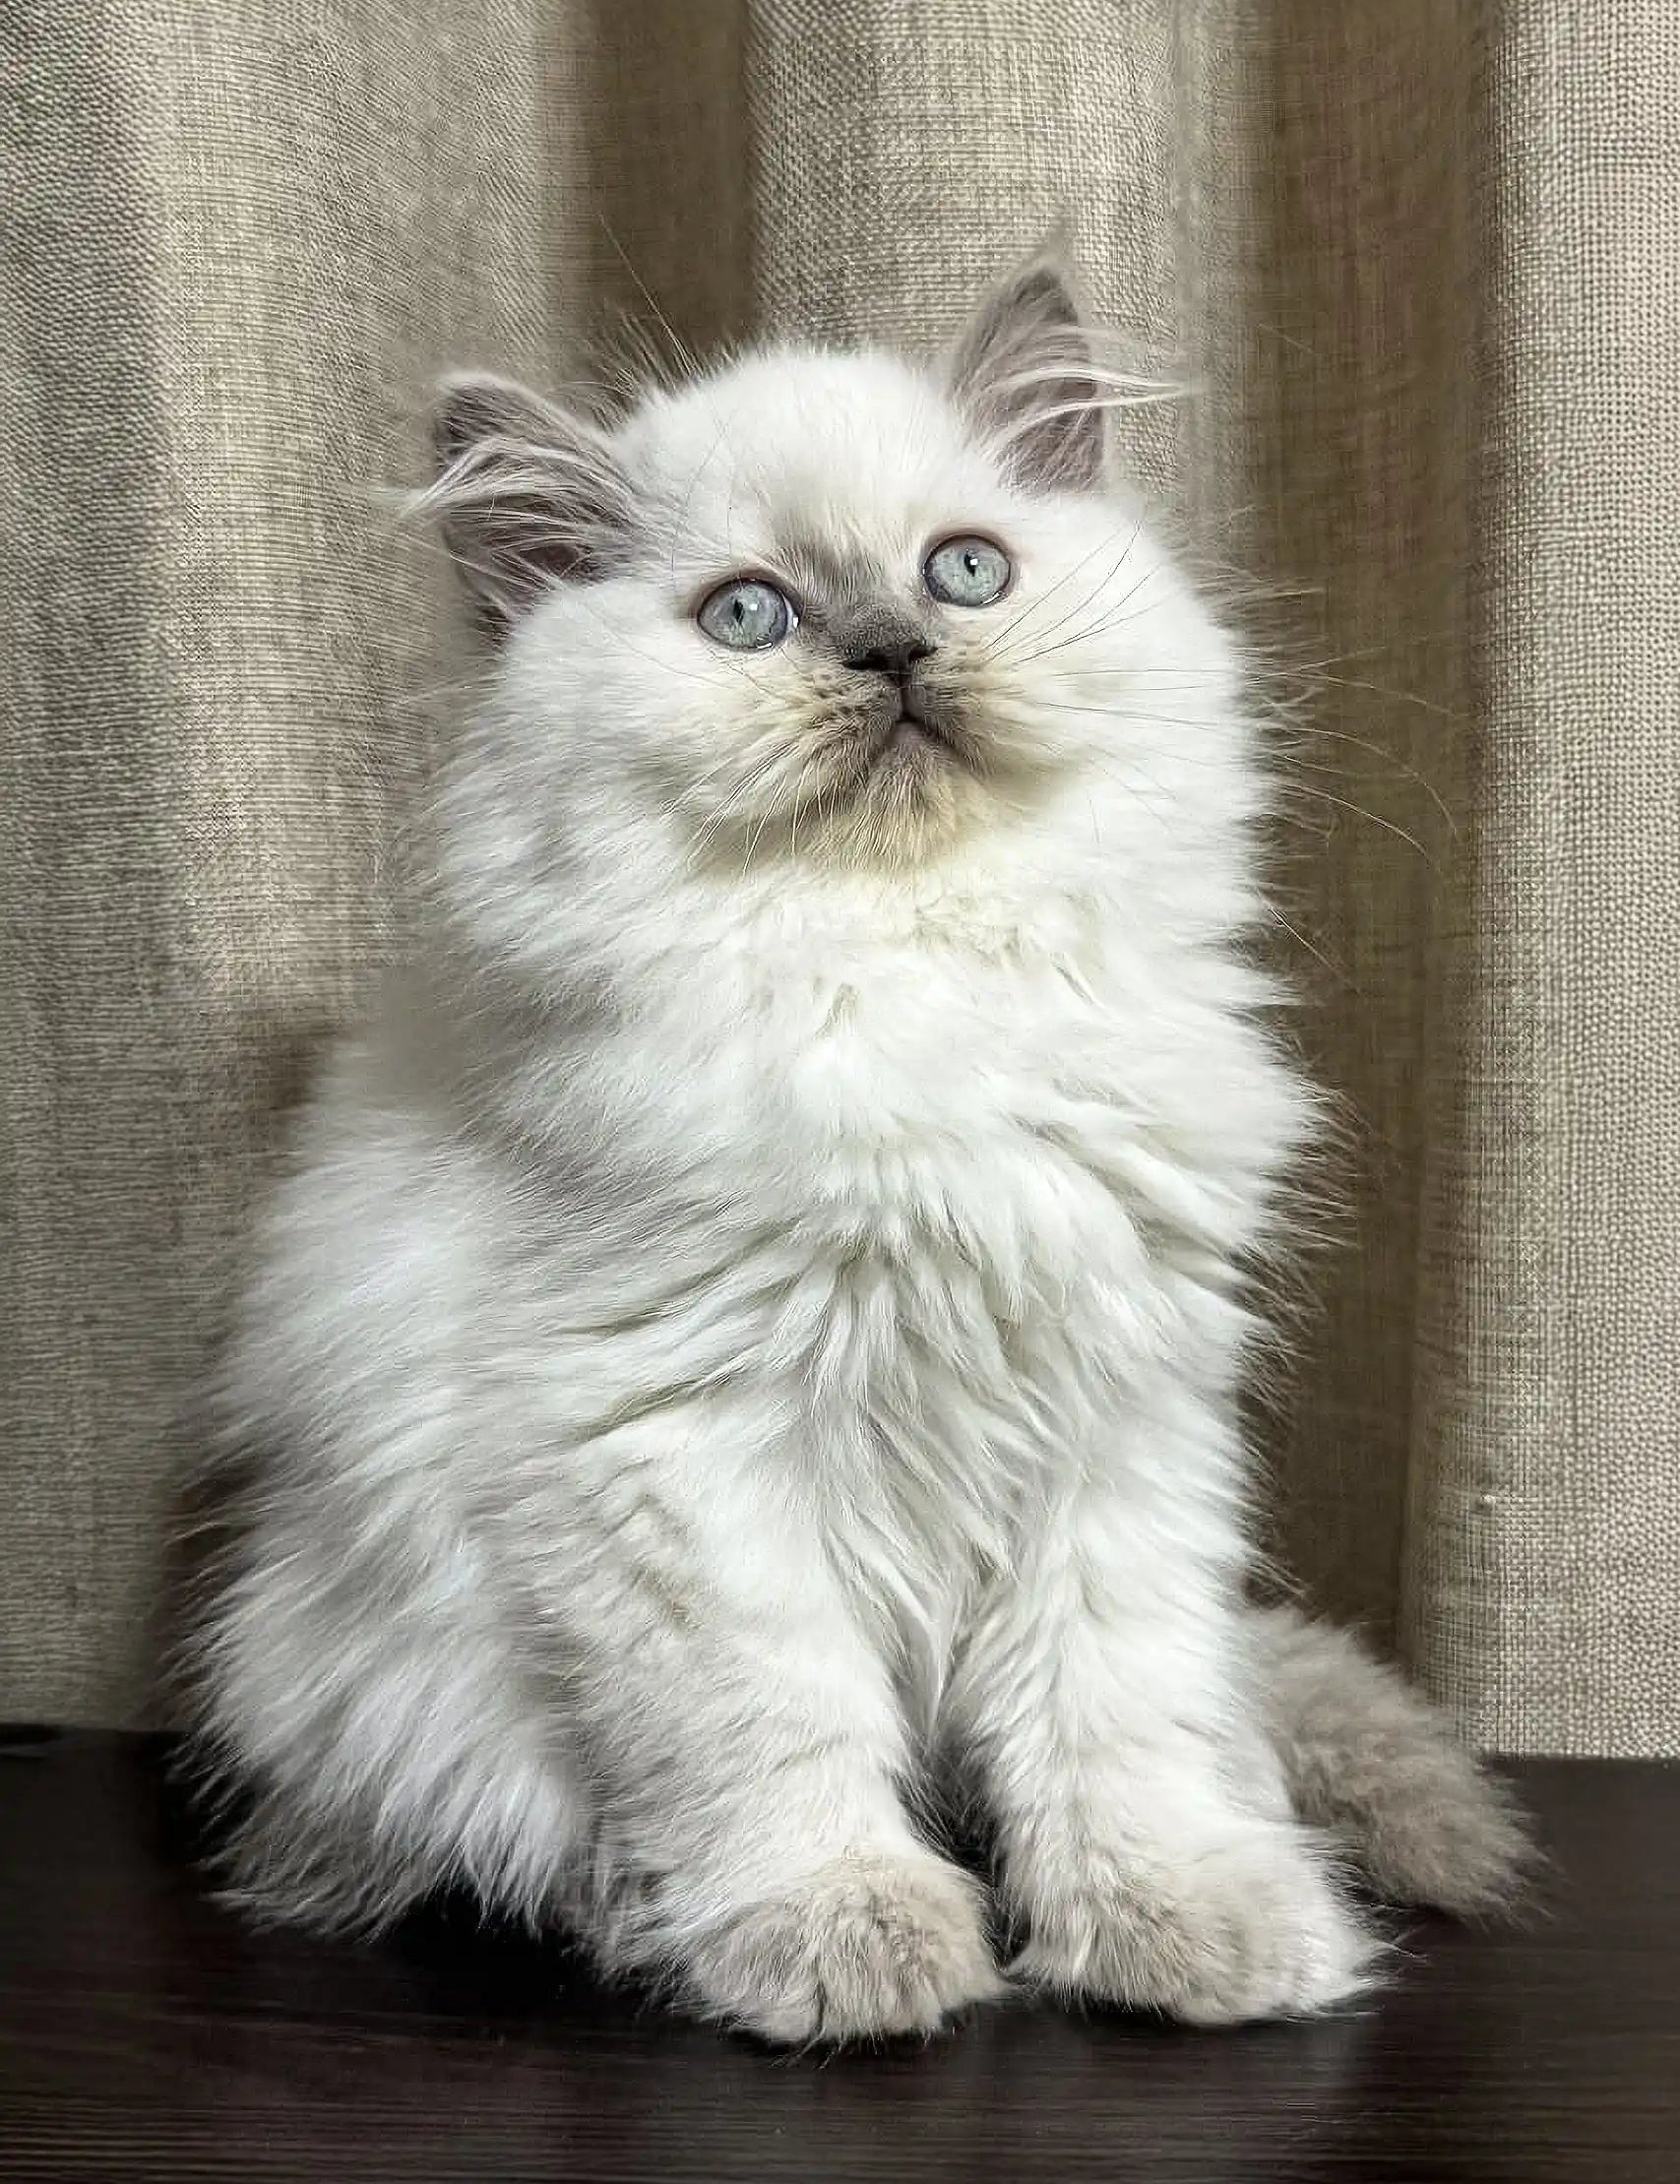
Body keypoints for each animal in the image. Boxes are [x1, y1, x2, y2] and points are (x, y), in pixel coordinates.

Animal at [183, 251, 1520, 2043]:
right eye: (748, 614)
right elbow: (778, 1734)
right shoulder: (674, 1442)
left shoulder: (1114, 1430)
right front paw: (849, 1943)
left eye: (964, 571)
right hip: (394, 1685)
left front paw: (1180, 1930)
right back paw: (633, 1918)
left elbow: (1116, 1722)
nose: (891, 650)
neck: (915, 976)